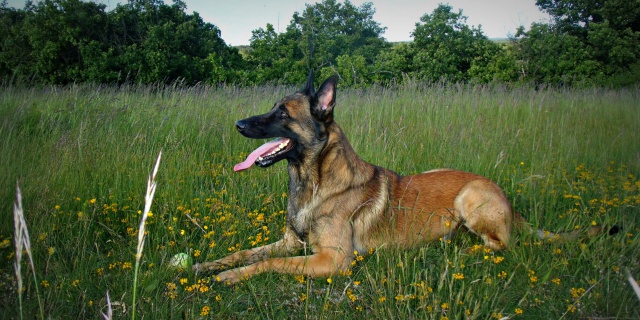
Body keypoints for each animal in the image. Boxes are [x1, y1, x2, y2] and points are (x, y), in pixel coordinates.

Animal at [192, 72, 608, 282]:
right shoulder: (290, 243)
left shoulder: (331, 260)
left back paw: (458, 249)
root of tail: (505, 197)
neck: (314, 182)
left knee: (502, 244)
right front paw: (205, 265)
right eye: (272, 108)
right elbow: (243, 252)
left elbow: (269, 264)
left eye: (281, 114)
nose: (238, 124)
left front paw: (231, 276)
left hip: (471, 197)